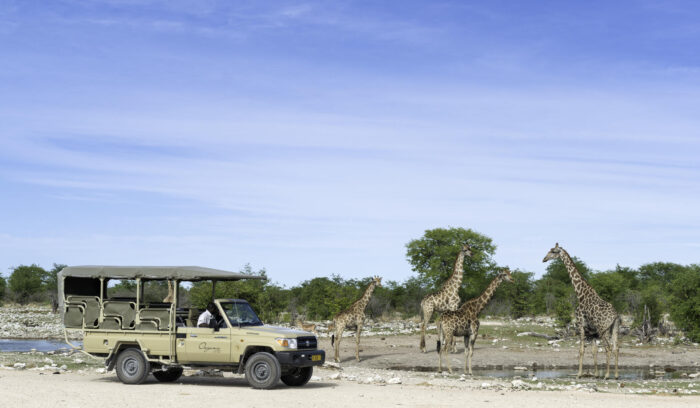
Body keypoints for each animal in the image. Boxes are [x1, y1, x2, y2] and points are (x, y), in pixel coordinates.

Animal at [544, 242, 620, 380]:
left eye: (553, 251)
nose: (544, 259)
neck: (580, 294)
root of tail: (616, 316)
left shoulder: (581, 325)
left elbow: (581, 350)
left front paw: (579, 374)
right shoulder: (592, 331)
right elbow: (594, 351)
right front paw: (595, 374)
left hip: (603, 329)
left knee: (608, 348)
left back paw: (607, 375)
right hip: (614, 328)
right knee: (616, 348)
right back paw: (616, 375)